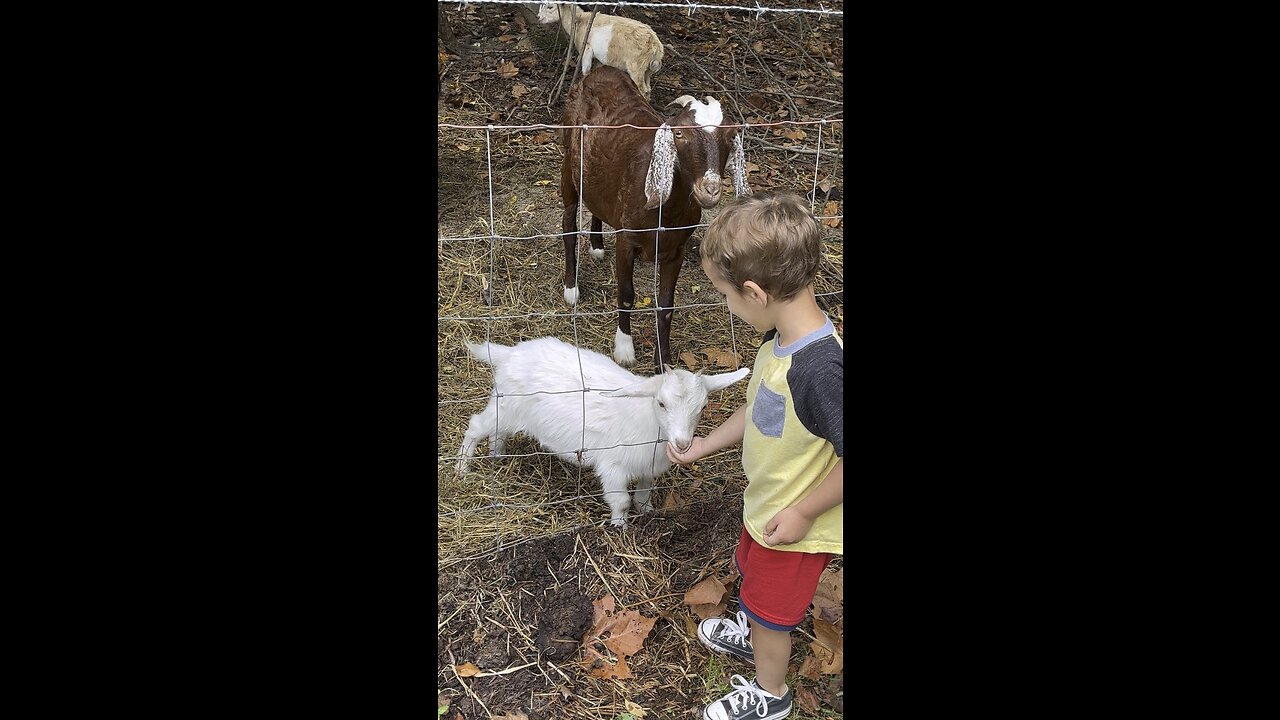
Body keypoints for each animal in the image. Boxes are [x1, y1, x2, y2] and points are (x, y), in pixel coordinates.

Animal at [455, 333, 747, 525]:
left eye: (703, 406)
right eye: (661, 403)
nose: (683, 444)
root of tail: (511, 354)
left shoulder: (648, 466)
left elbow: (643, 495)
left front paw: (648, 513)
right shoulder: (613, 467)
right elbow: (622, 502)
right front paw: (620, 527)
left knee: (497, 432)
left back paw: (497, 454)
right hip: (504, 406)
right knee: (476, 425)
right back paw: (462, 468)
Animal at [560, 64, 747, 371]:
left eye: (730, 135)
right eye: (679, 134)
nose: (710, 189)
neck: (666, 212)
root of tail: (602, 70)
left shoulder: (676, 249)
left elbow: (667, 304)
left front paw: (664, 362)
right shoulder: (626, 240)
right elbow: (626, 294)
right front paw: (624, 349)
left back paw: (597, 245)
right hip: (568, 162)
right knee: (568, 224)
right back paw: (571, 288)